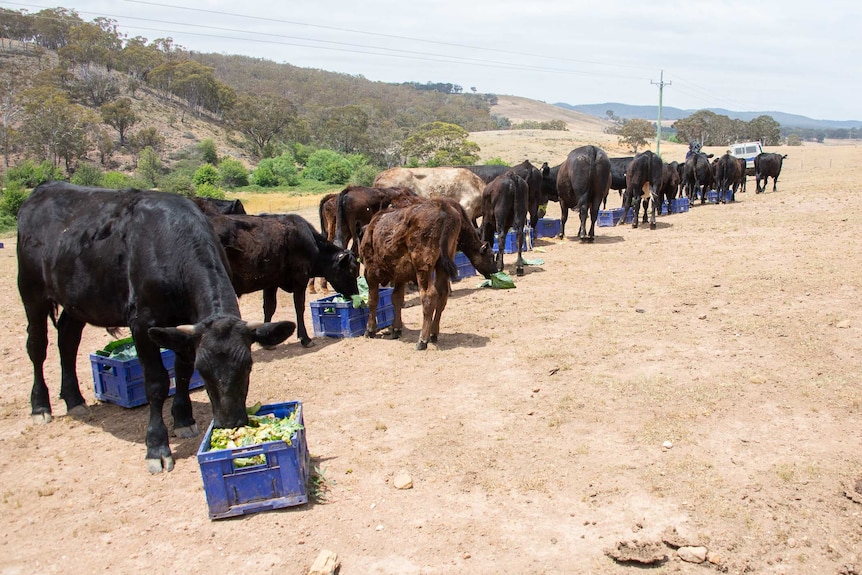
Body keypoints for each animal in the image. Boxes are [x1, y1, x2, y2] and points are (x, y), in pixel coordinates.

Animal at [17, 182, 296, 474]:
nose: (230, 423)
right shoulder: (142, 324)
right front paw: (157, 446)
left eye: (248, 366)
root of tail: (44, 188)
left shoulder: (185, 328)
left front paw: (183, 419)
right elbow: (157, 382)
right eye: (204, 370)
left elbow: (181, 372)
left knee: (67, 340)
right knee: (37, 346)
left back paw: (74, 400)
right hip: (31, 290)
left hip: (77, 300)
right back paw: (40, 406)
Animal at [209, 212, 362, 346]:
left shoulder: (270, 283)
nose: (356, 294)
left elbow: (269, 308)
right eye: (351, 271)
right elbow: (299, 307)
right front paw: (305, 338)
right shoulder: (300, 279)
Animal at [360, 198, 496, 352]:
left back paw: (422, 340)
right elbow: (396, 299)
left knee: (429, 296)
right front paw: (396, 328)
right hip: (442, 264)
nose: (496, 269)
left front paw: (370, 329)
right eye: (491, 256)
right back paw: (433, 333)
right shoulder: (400, 275)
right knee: (442, 294)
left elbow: (373, 299)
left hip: (423, 267)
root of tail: (443, 208)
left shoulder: (370, 272)